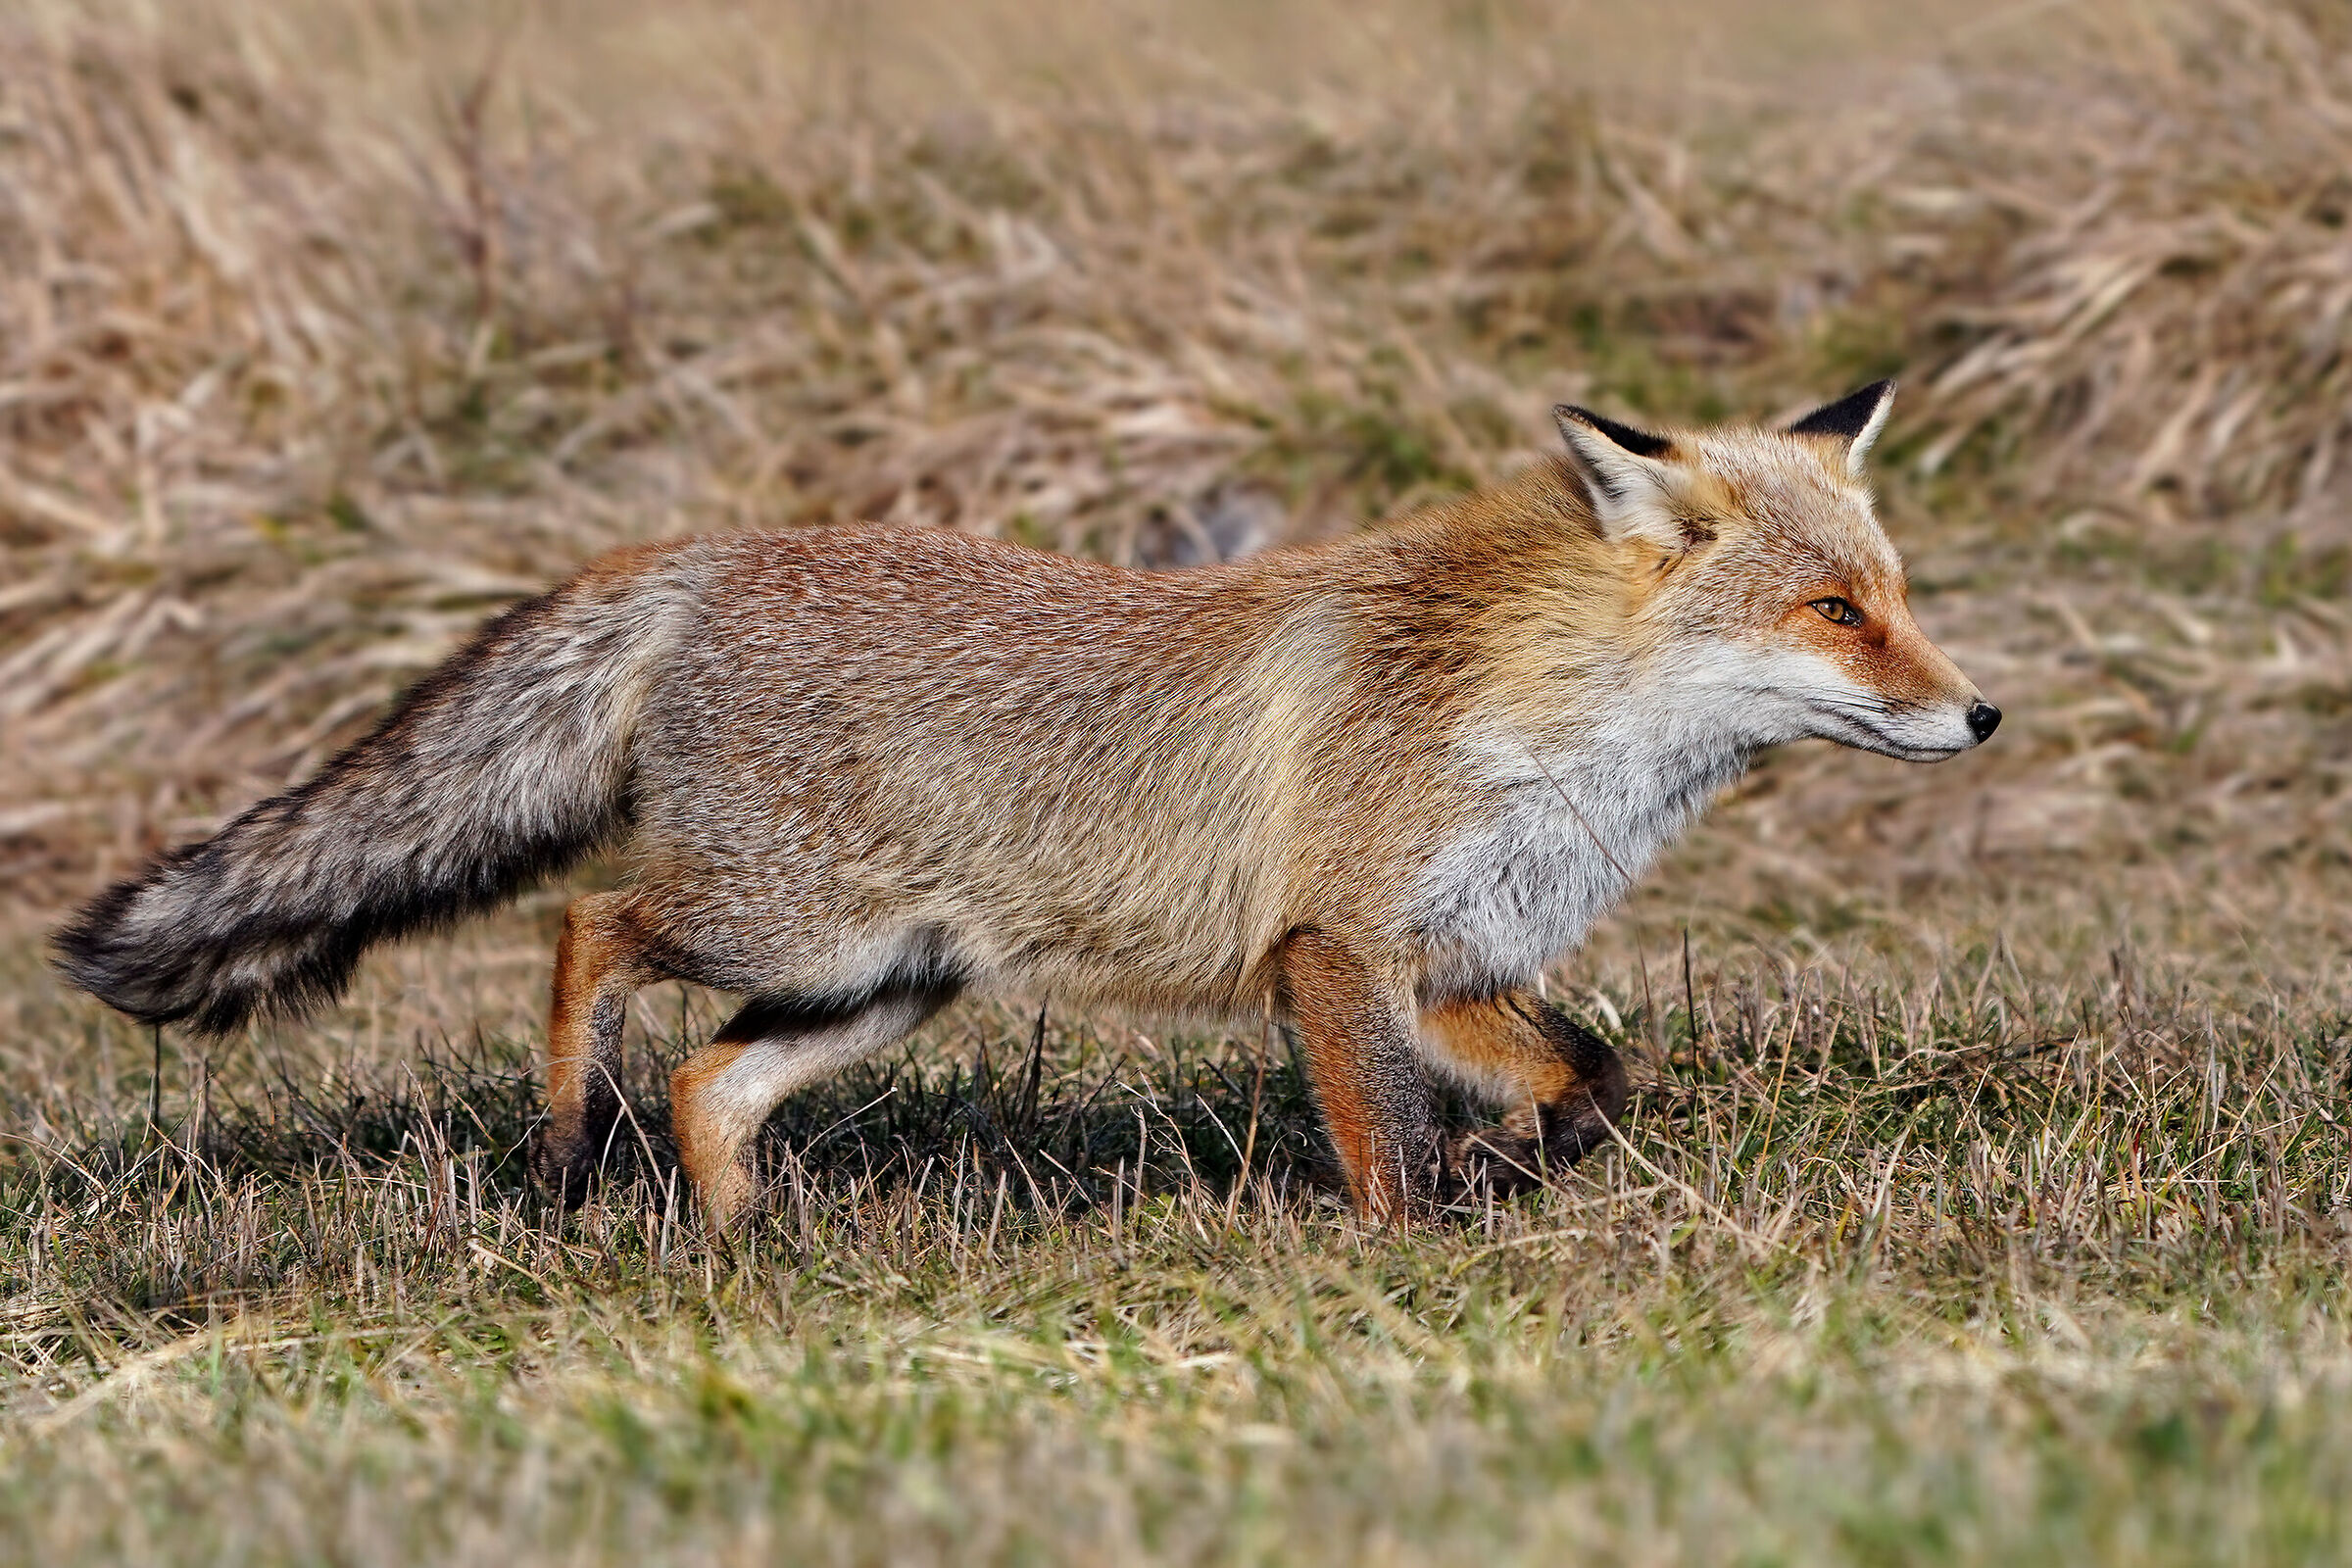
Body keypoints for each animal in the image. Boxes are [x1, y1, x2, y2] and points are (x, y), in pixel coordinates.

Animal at [52, 381, 1996, 1228]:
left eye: (1898, 595)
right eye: (1838, 613)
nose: (1981, 711)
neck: (1549, 734)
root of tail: (706, 556)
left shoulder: (1455, 961)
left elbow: (1598, 1080)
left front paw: (1524, 1167)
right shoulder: (1335, 952)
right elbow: (1387, 1145)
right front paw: (1416, 1258)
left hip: (887, 980)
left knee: (706, 1079)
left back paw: (740, 1250)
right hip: (787, 925)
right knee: (586, 931)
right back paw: (565, 1150)